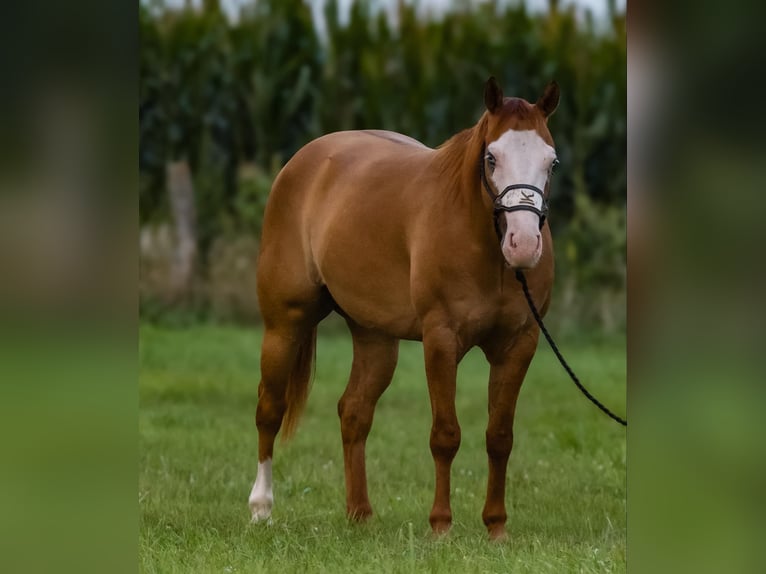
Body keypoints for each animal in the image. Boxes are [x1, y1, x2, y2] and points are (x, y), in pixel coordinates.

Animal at [249, 76, 560, 540]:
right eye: (491, 157)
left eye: (551, 162)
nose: (523, 245)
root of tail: (304, 162)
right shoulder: (441, 340)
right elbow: (445, 435)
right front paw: (441, 526)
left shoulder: (519, 344)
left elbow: (499, 437)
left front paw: (496, 527)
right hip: (284, 325)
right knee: (270, 409)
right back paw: (261, 508)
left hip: (375, 338)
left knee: (354, 412)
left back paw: (359, 514)